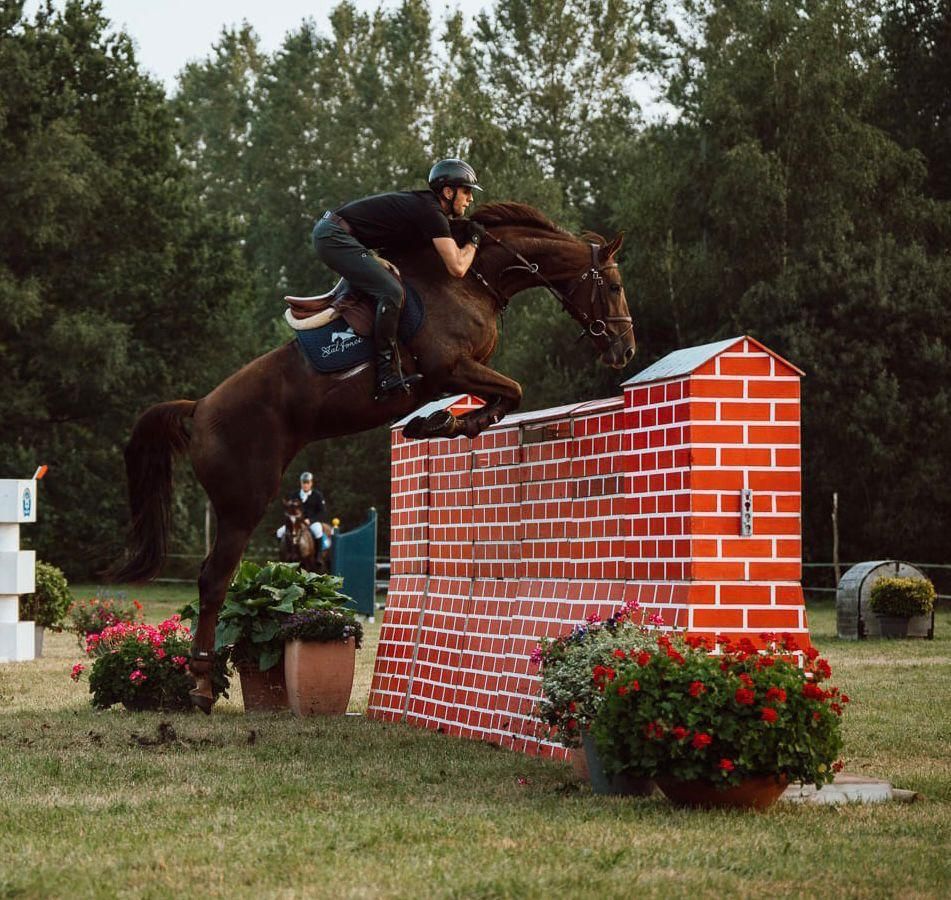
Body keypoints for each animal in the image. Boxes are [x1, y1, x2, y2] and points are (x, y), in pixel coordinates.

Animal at [110, 202, 636, 712]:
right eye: (613, 286)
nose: (625, 350)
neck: (470, 281)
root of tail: (199, 408)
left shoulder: (459, 373)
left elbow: (504, 397)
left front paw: (441, 423)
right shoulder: (451, 367)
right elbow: (513, 390)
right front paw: (445, 424)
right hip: (243, 504)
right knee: (214, 580)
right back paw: (200, 684)